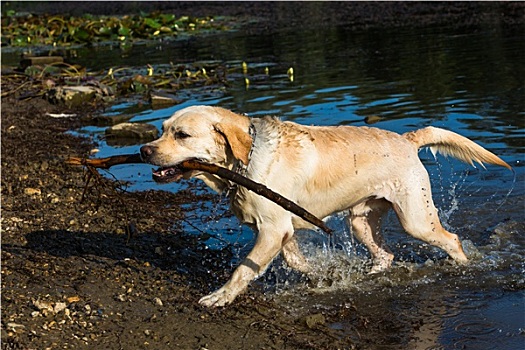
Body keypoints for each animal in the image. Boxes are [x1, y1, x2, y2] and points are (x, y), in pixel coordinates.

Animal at [140, 105, 512, 308]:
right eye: (162, 130)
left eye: (182, 135)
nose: (144, 150)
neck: (245, 161)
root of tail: (407, 139)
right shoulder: (281, 229)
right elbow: (296, 261)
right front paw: (321, 276)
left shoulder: (273, 229)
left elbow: (243, 269)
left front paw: (221, 296)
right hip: (361, 221)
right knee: (386, 254)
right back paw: (368, 274)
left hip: (416, 219)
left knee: (452, 240)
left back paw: (463, 265)